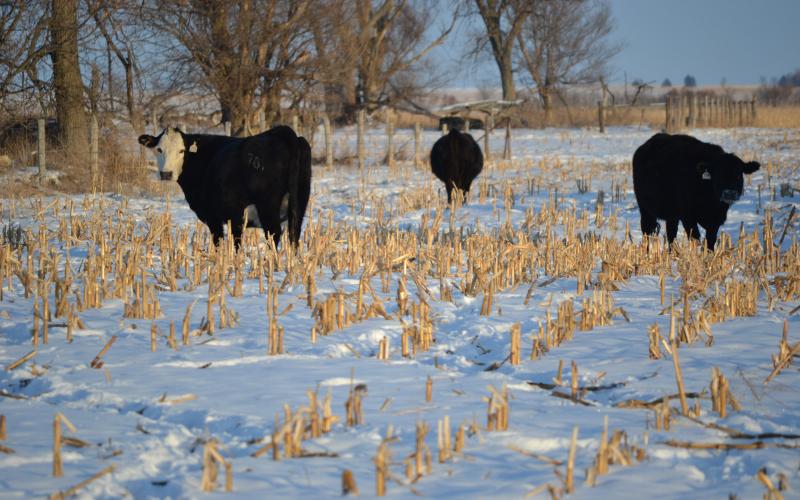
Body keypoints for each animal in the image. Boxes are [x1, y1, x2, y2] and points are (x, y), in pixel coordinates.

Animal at [138, 125, 311, 249]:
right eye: (159, 149)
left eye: (182, 150)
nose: (166, 174)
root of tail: (280, 132)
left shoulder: (215, 216)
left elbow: (222, 242)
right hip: (299, 201)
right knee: (294, 232)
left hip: (267, 205)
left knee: (274, 233)